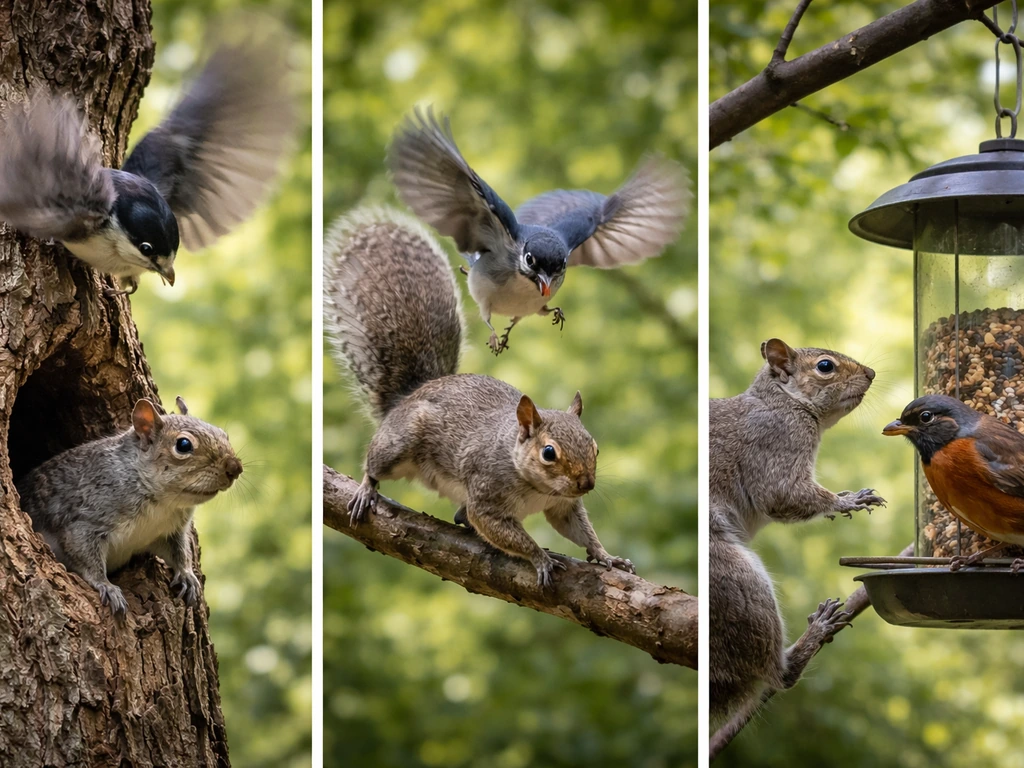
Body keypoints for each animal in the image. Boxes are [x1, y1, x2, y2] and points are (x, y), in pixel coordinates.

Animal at [16, 397, 242, 616]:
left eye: (223, 434)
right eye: (184, 445)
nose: (235, 468)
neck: (162, 504)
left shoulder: (171, 531)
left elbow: (179, 551)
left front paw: (187, 575)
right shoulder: (86, 521)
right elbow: (87, 557)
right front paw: (106, 586)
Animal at [324, 206, 634, 587]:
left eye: (595, 447)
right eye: (548, 453)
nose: (586, 484)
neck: (537, 486)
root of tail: (407, 398)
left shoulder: (562, 506)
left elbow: (580, 530)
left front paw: (607, 557)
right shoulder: (486, 498)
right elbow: (506, 534)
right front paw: (541, 558)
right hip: (400, 442)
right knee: (375, 464)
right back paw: (367, 488)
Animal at [709, 338, 886, 729]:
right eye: (825, 366)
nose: (871, 373)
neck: (783, 401)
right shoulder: (777, 444)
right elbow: (783, 494)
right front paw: (848, 500)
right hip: (739, 584)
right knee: (780, 676)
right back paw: (814, 634)